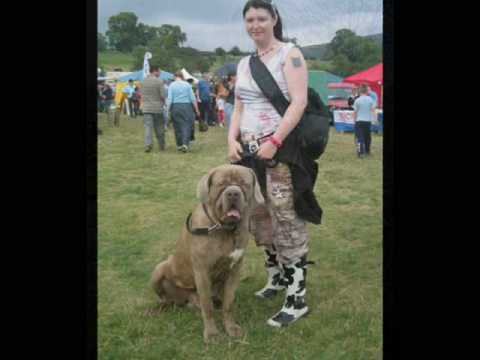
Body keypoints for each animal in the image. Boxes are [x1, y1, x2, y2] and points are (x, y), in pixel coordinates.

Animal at [151, 165, 264, 342]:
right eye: (221, 184)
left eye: (243, 183)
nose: (233, 193)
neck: (225, 229)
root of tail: (187, 299)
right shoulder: (202, 271)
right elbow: (207, 306)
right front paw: (212, 334)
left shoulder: (235, 270)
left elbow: (228, 303)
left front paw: (231, 328)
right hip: (159, 269)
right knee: (166, 298)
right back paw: (159, 308)